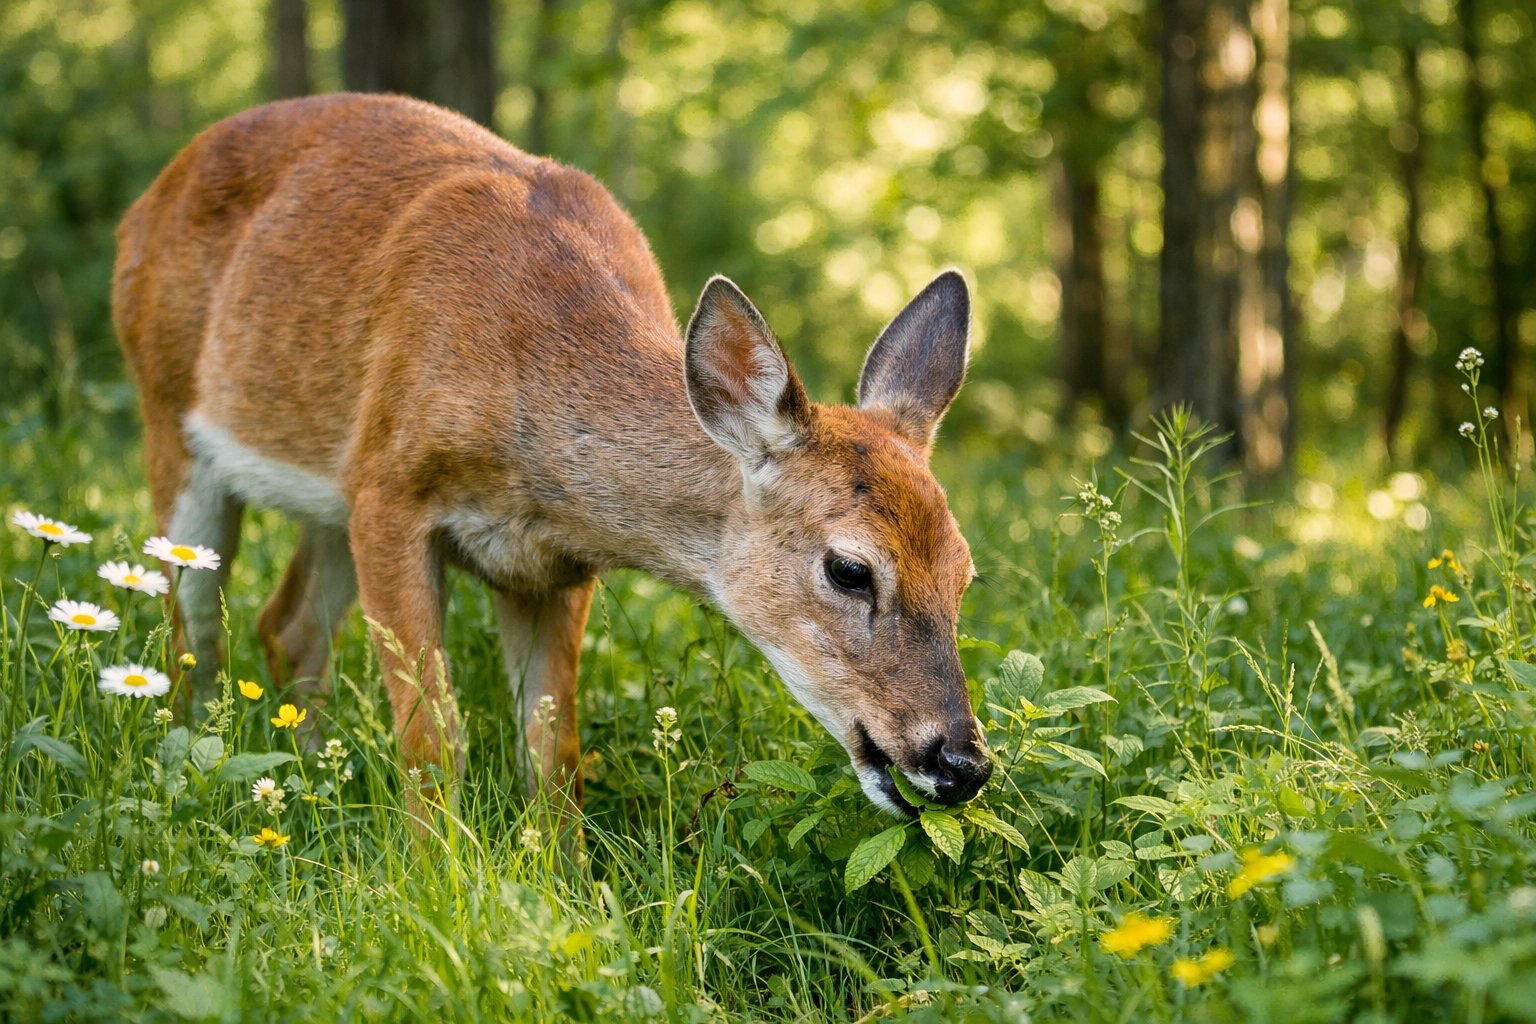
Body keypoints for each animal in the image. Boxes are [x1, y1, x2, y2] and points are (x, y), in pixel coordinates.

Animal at [111, 93, 990, 818]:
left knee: (287, 624)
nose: (961, 761)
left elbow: (552, 753)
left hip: (331, 489)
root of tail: (149, 196)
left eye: (964, 575)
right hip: (171, 416)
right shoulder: (393, 492)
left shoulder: (551, 565)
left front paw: (560, 879)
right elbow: (433, 739)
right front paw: (443, 876)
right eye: (849, 569)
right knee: (191, 629)